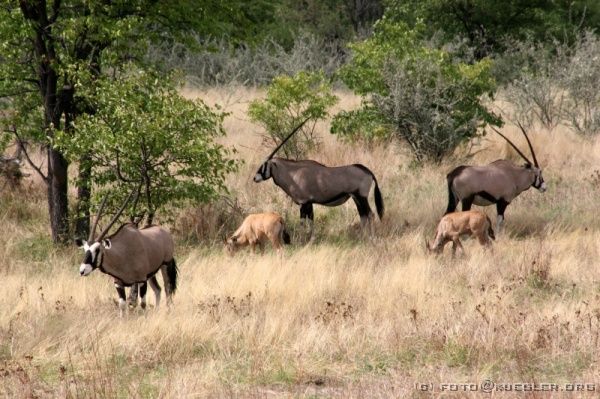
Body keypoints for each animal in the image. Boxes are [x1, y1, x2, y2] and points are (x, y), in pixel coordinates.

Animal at [253, 119, 384, 238]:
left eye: (264, 164)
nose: (255, 178)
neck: (293, 174)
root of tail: (368, 171)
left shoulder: (303, 203)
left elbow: (303, 222)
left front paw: (302, 239)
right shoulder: (309, 203)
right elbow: (311, 221)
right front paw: (311, 238)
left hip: (361, 196)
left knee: (370, 215)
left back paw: (372, 237)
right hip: (356, 198)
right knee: (363, 216)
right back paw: (362, 237)